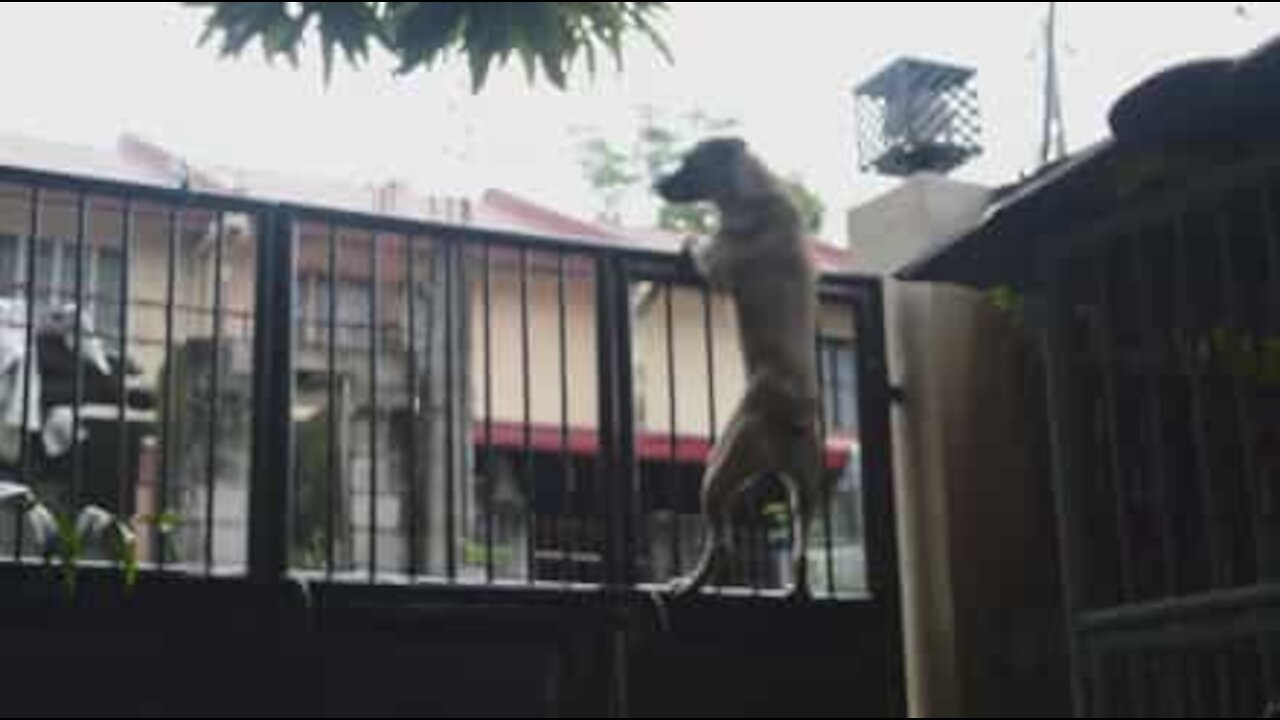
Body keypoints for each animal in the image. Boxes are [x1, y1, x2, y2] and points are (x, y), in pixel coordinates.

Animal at [655, 137, 824, 597]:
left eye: (689, 163)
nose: (656, 181)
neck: (754, 190)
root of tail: (792, 415)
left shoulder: (717, 261)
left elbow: (702, 250)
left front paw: (687, 239)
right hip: (804, 491)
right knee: (801, 549)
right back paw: (795, 588)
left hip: (718, 469)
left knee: (722, 543)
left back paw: (688, 584)